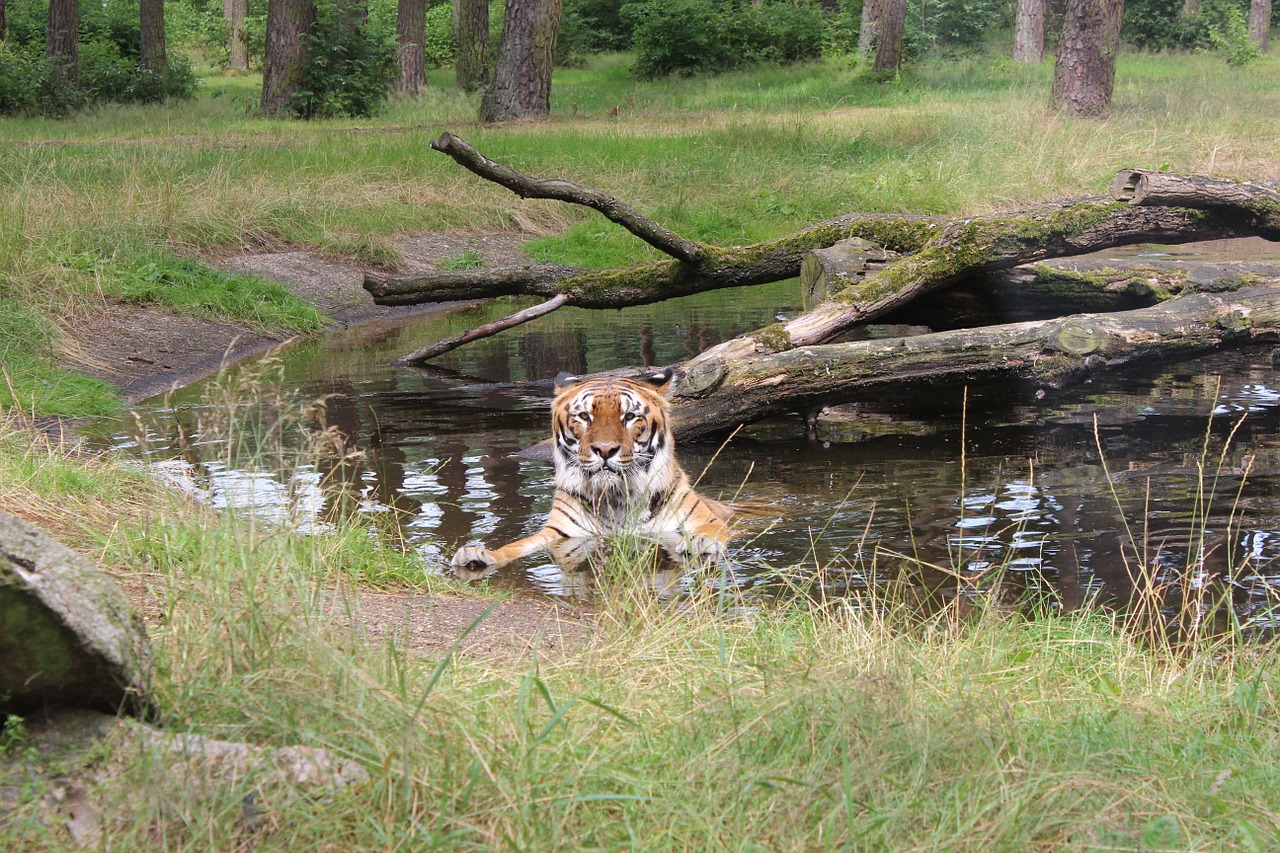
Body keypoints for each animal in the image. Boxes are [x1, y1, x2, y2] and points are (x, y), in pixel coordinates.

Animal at [450, 366, 737, 571]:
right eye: (584, 416)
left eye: (629, 416)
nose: (605, 449)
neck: (616, 497)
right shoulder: (559, 532)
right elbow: (517, 545)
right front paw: (478, 554)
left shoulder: (705, 519)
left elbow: (713, 530)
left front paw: (700, 542)